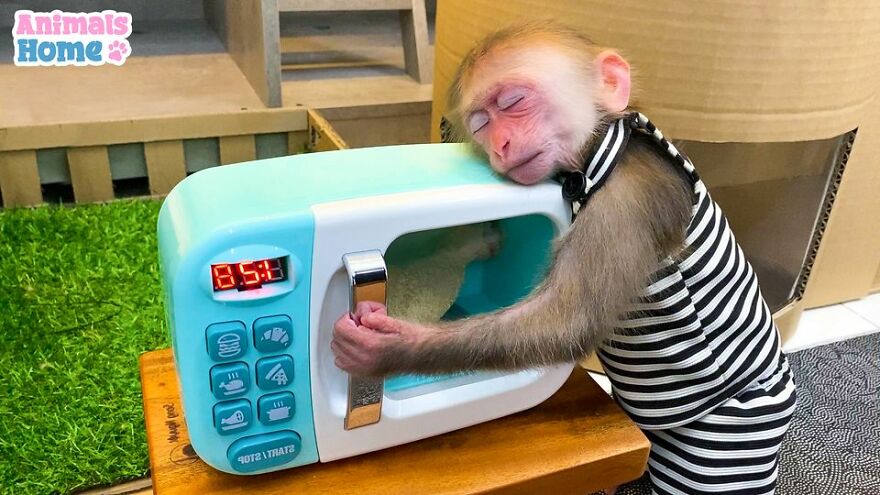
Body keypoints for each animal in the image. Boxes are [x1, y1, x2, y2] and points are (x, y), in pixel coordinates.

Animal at [332, 22, 796, 495]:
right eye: (481, 125)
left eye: (512, 103)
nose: (501, 144)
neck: (595, 156)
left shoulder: (631, 194)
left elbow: (572, 319)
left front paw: (384, 348)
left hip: (732, 433)